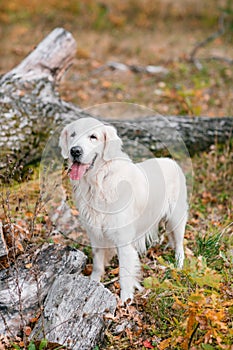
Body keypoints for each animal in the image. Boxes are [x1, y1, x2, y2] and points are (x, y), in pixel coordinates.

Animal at [59, 118, 188, 304]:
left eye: (93, 137)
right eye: (72, 134)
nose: (75, 151)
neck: (99, 182)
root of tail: (172, 162)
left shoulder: (124, 241)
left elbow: (124, 274)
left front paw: (125, 300)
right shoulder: (95, 235)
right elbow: (98, 263)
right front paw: (93, 283)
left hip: (176, 218)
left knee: (179, 245)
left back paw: (178, 264)